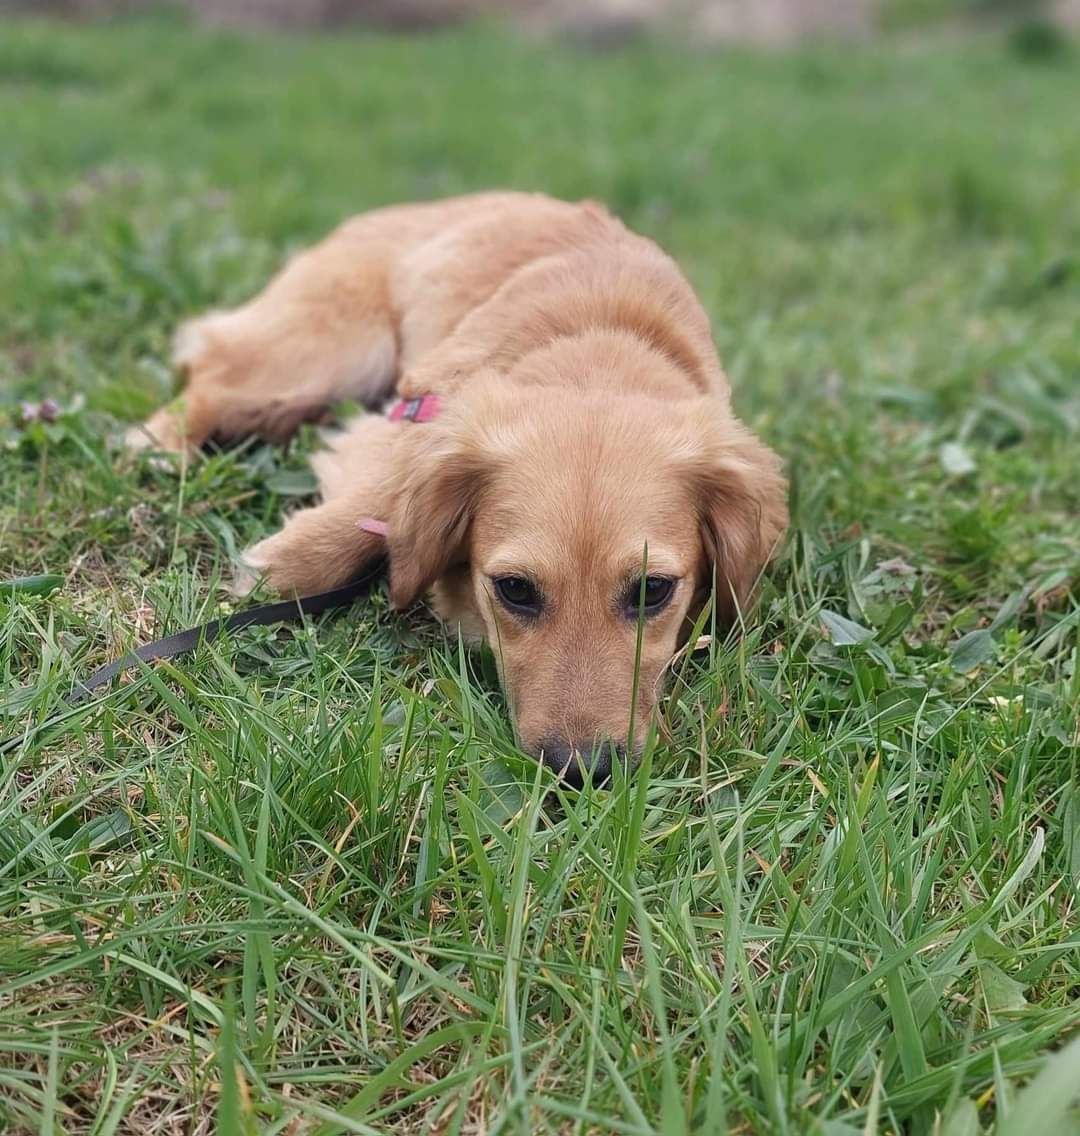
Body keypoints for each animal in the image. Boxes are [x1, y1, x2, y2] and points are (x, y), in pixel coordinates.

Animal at [126, 195, 790, 781]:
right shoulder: (413, 417)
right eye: (515, 589)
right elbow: (377, 506)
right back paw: (156, 442)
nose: (582, 772)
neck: (597, 349)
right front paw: (282, 564)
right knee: (211, 380)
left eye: (653, 591)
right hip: (328, 350)